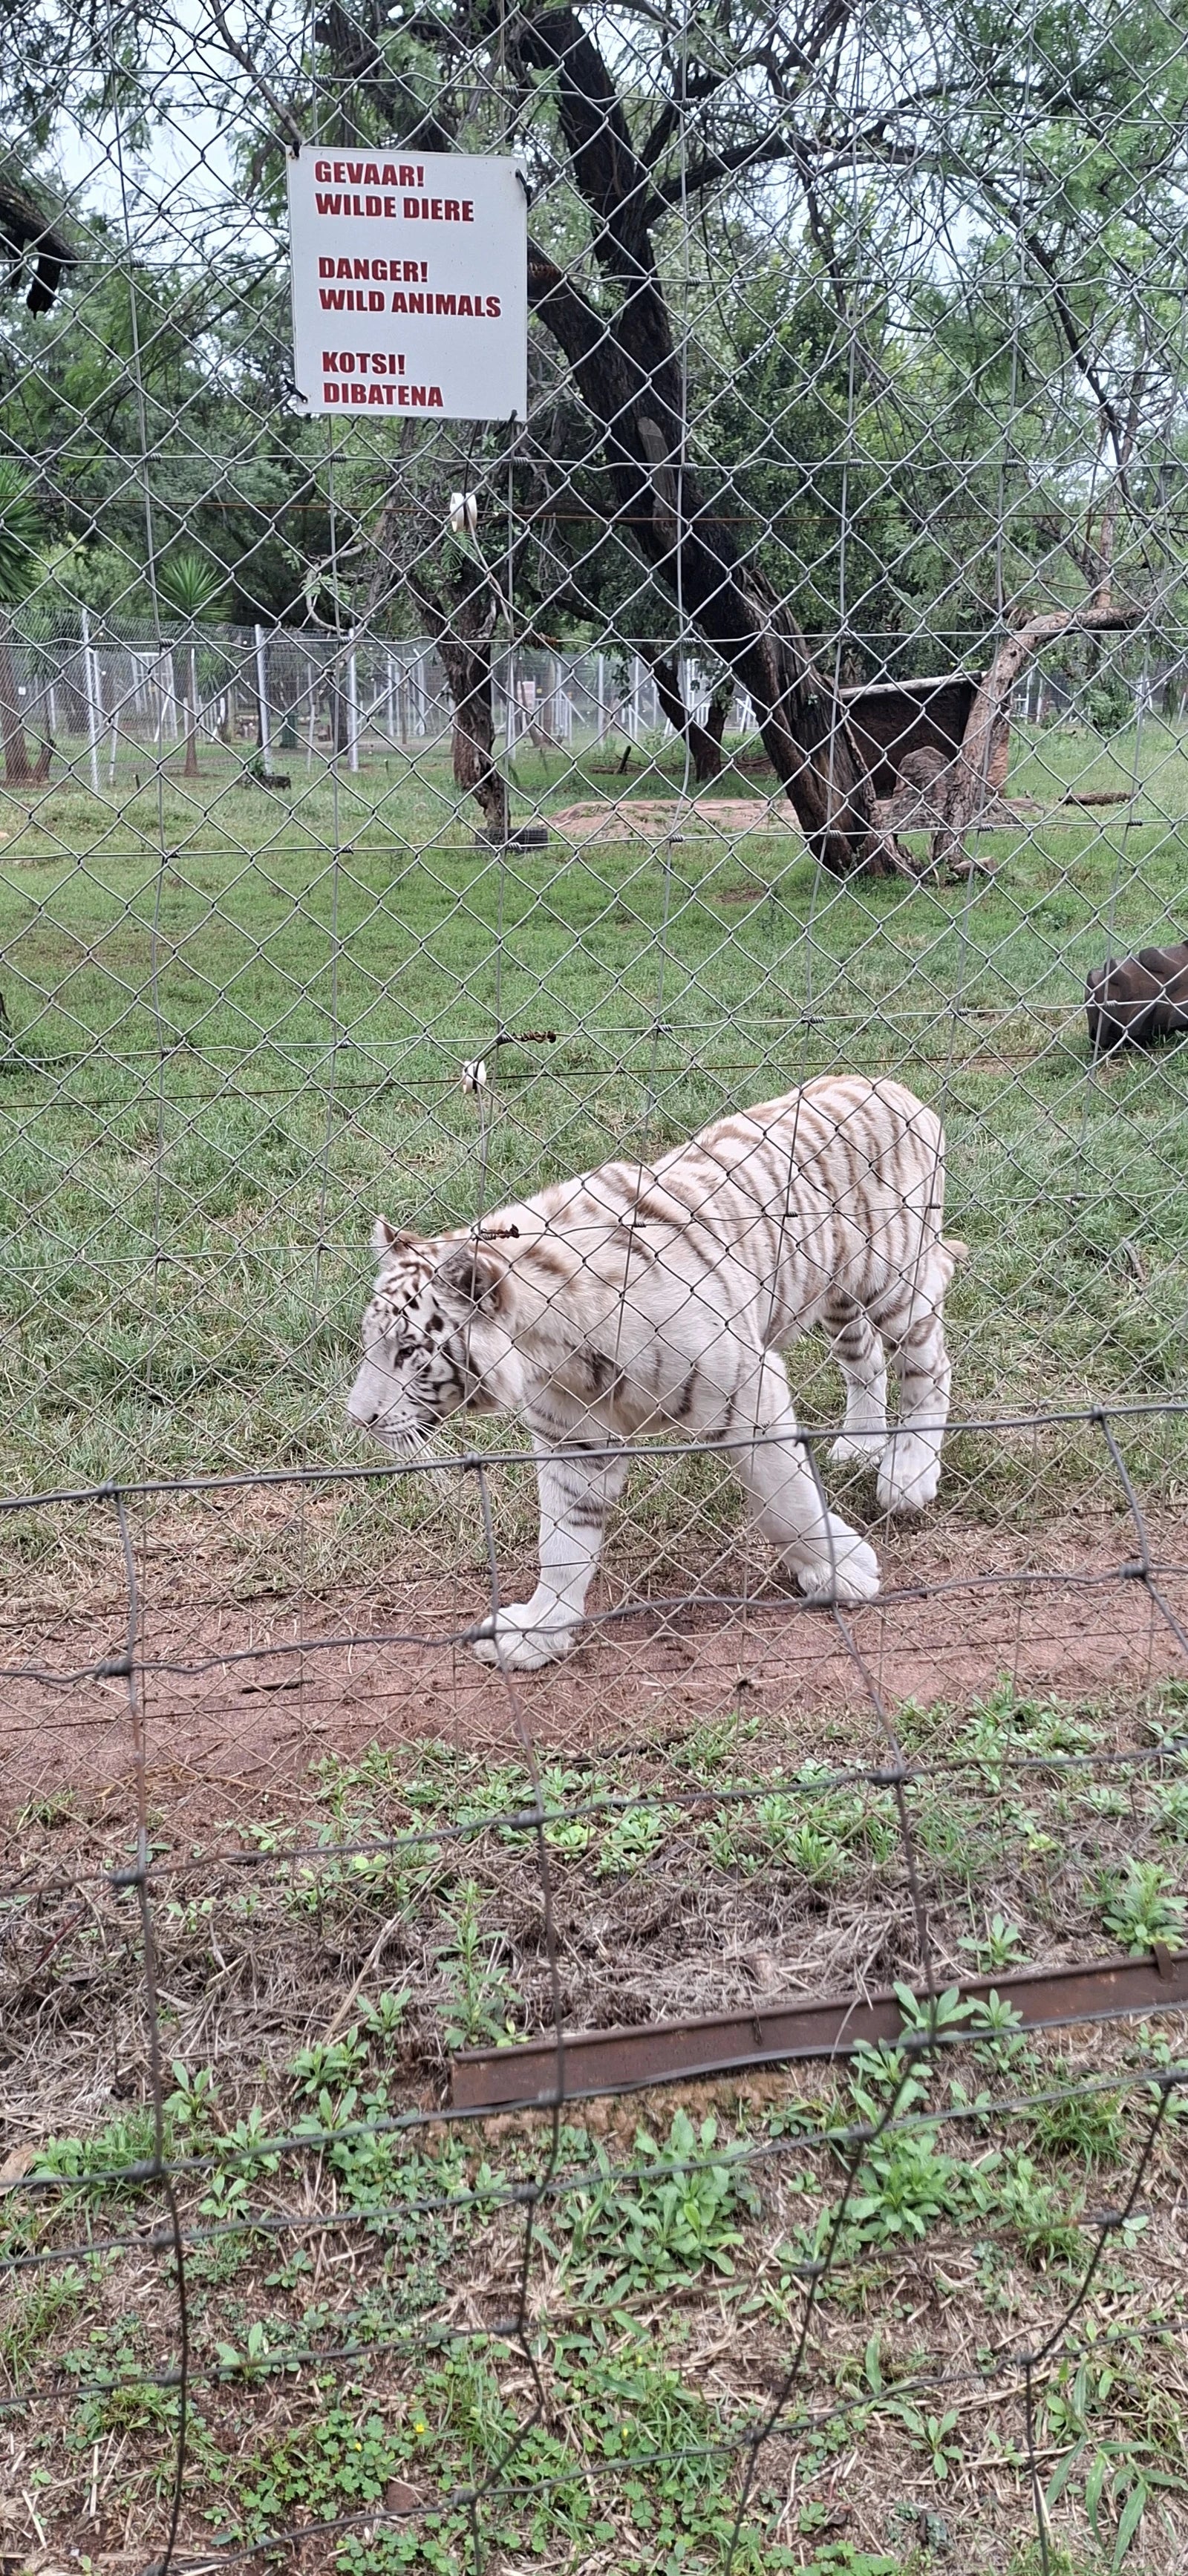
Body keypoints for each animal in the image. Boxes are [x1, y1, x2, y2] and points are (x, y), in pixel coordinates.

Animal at [347, 1074, 963, 1669]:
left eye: (408, 1350)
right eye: (370, 1343)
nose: (358, 1419)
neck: (554, 1353)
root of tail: (897, 1088)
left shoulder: (751, 1391)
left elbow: (785, 1502)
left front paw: (843, 1574)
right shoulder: (573, 1440)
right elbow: (563, 1545)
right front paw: (535, 1634)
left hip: (890, 1281)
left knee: (930, 1364)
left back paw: (907, 1475)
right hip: (838, 1299)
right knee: (867, 1361)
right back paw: (860, 1445)